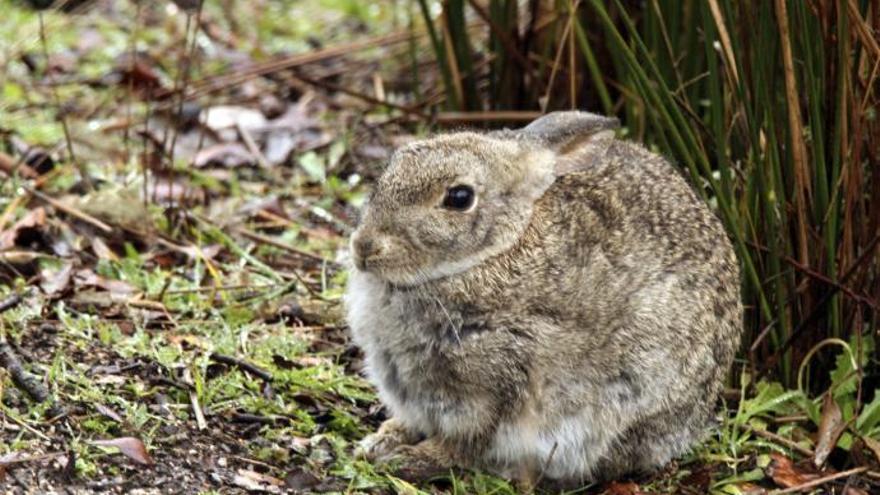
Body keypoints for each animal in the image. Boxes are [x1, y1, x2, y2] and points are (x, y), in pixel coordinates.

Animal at [344, 111, 744, 488]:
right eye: (391, 167)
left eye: (459, 198)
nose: (364, 247)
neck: (488, 255)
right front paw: (381, 441)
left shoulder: (494, 389)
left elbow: (465, 444)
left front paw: (411, 459)